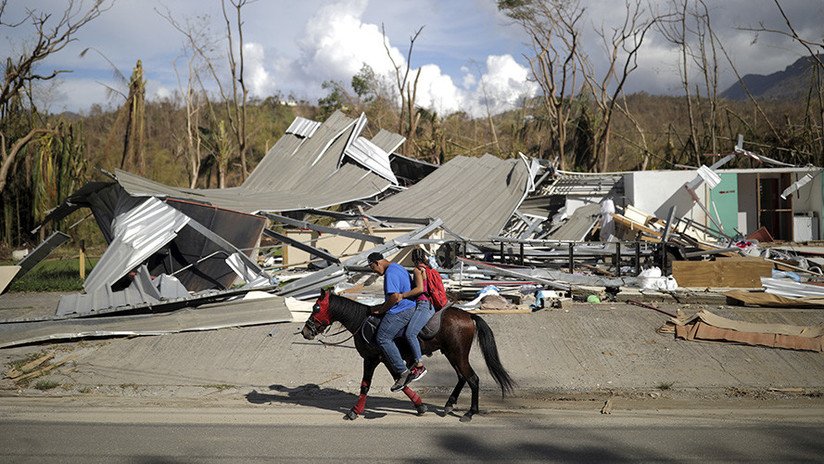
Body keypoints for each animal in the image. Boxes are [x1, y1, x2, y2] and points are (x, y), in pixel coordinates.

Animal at [300, 290, 512, 424]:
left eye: (316, 307)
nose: (305, 331)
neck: (362, 321)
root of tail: (468, 316)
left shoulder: (371, 359)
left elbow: (366, 385)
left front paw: (354, 411)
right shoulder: (386, 358)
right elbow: (400, 381)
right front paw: (420, 406)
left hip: (458, 354)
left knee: (473, 379)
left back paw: (470, 412)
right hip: (452, 354)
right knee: (462, 377)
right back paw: (449, 404)